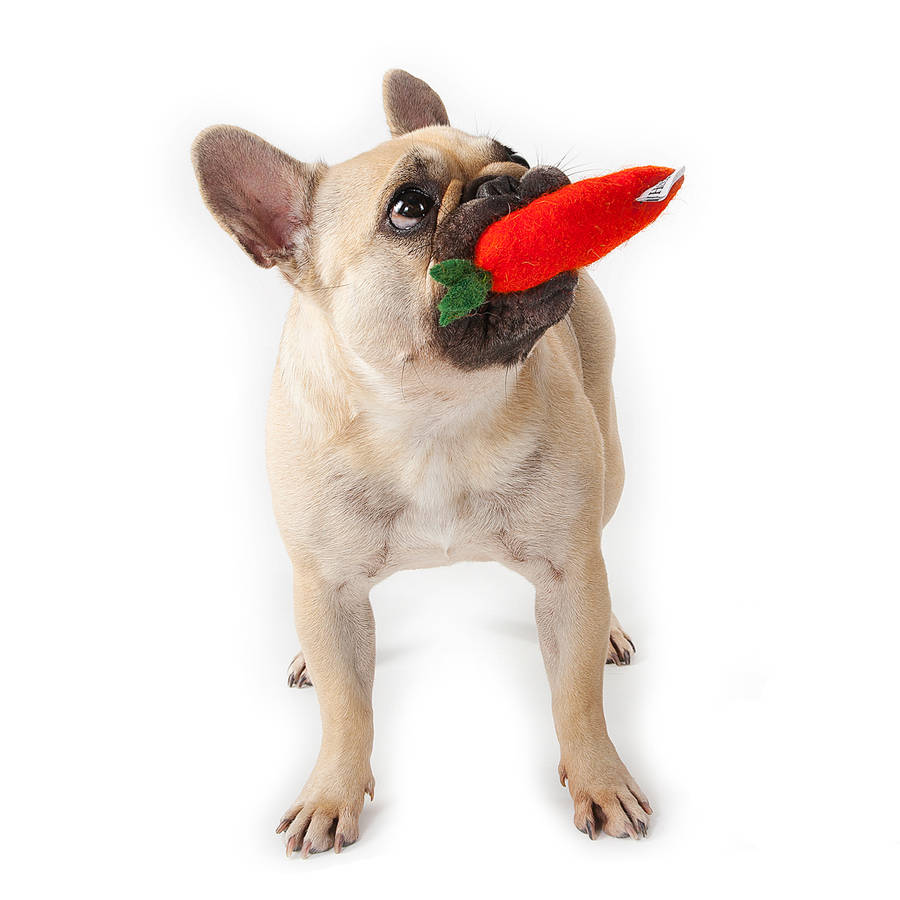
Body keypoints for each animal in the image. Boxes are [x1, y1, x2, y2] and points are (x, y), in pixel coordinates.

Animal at [193, 68, 652, 852]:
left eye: (512, 152)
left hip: (611, 460)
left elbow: (577, 697)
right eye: (408, 210)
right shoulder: (326, 585)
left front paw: (599, 779)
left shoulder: (568, 572)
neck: (434, 419)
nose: (509, 183)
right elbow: (347, 708)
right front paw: (331, 792)